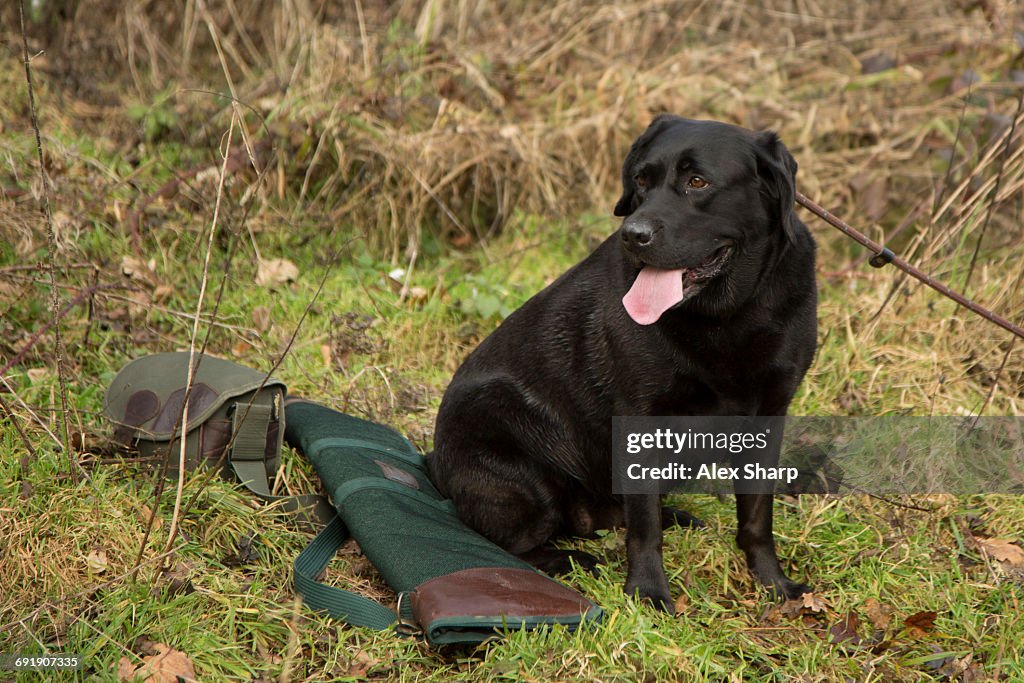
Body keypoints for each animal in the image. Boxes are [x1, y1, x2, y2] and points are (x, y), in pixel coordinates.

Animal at [423, 114, 815, 610]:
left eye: (698, 182)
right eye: (641, 181)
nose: (634, 235)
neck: (726, 315)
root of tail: (436, 463)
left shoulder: (770, 414)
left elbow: (757, 515)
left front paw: (772, 582)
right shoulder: (638, 418)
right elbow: (644, 527)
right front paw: (648, 592)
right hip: (517, 455)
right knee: (509, 543)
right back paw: (572, 559)